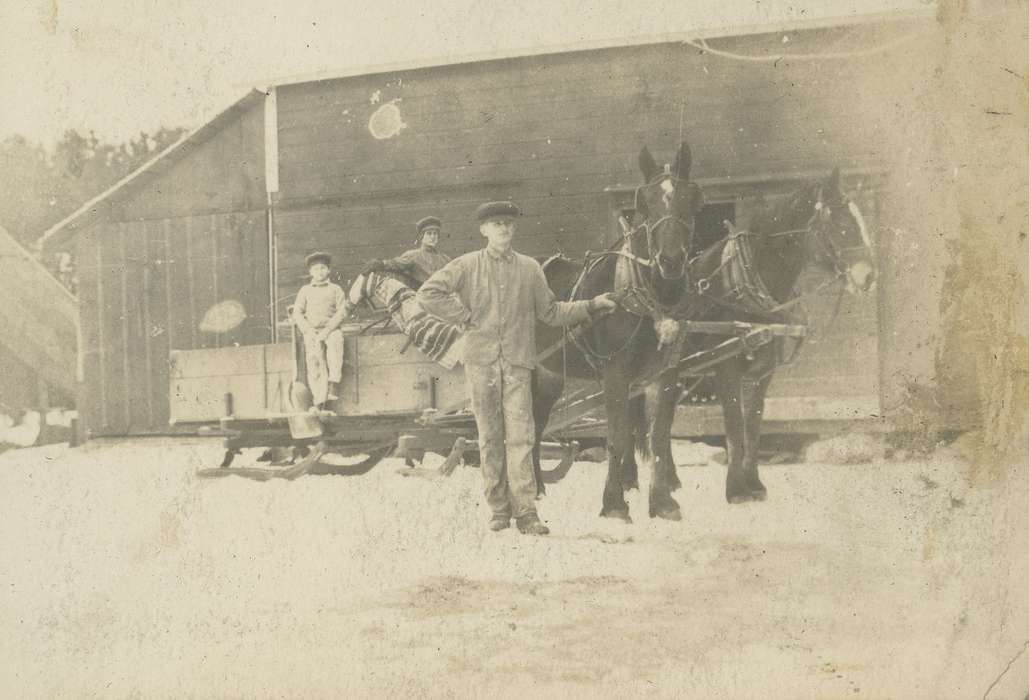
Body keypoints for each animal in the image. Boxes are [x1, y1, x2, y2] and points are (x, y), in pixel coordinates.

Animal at [535, 145, 703, 522]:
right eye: (645, 202)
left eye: (691, 197)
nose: (670, 260)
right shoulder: (616, 373)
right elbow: (618, 437)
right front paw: (613, 504)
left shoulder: (665, 373)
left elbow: (659, 436)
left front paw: (662, 502)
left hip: (549, 375)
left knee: (535, 425)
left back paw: (537, 487)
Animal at [683, 169, 876, 502]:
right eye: (840, 223)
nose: (869, 276)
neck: (739, 285)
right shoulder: (726, 370)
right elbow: (734, 429)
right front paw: (735, 490)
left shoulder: (762, 374)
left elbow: (753, 427)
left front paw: (754, 484)